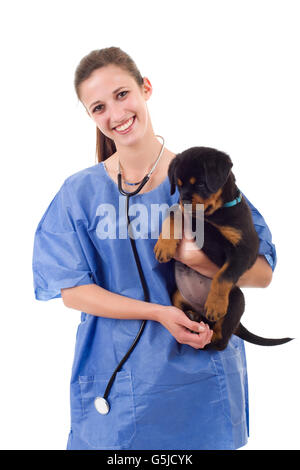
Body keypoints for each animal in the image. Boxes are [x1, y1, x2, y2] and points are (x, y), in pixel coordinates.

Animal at [155, 147, 292, 348]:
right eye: (178, 185)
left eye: (201, 184)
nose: (184, 200)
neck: (213, 215)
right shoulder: (187, 215)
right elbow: (173, 213)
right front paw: (164, 246)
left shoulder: (245, 249)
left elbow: (223, 276)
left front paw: (215, 304)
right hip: (177, 296)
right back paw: (192, 318)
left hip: (237, 300)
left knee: (220, 341)